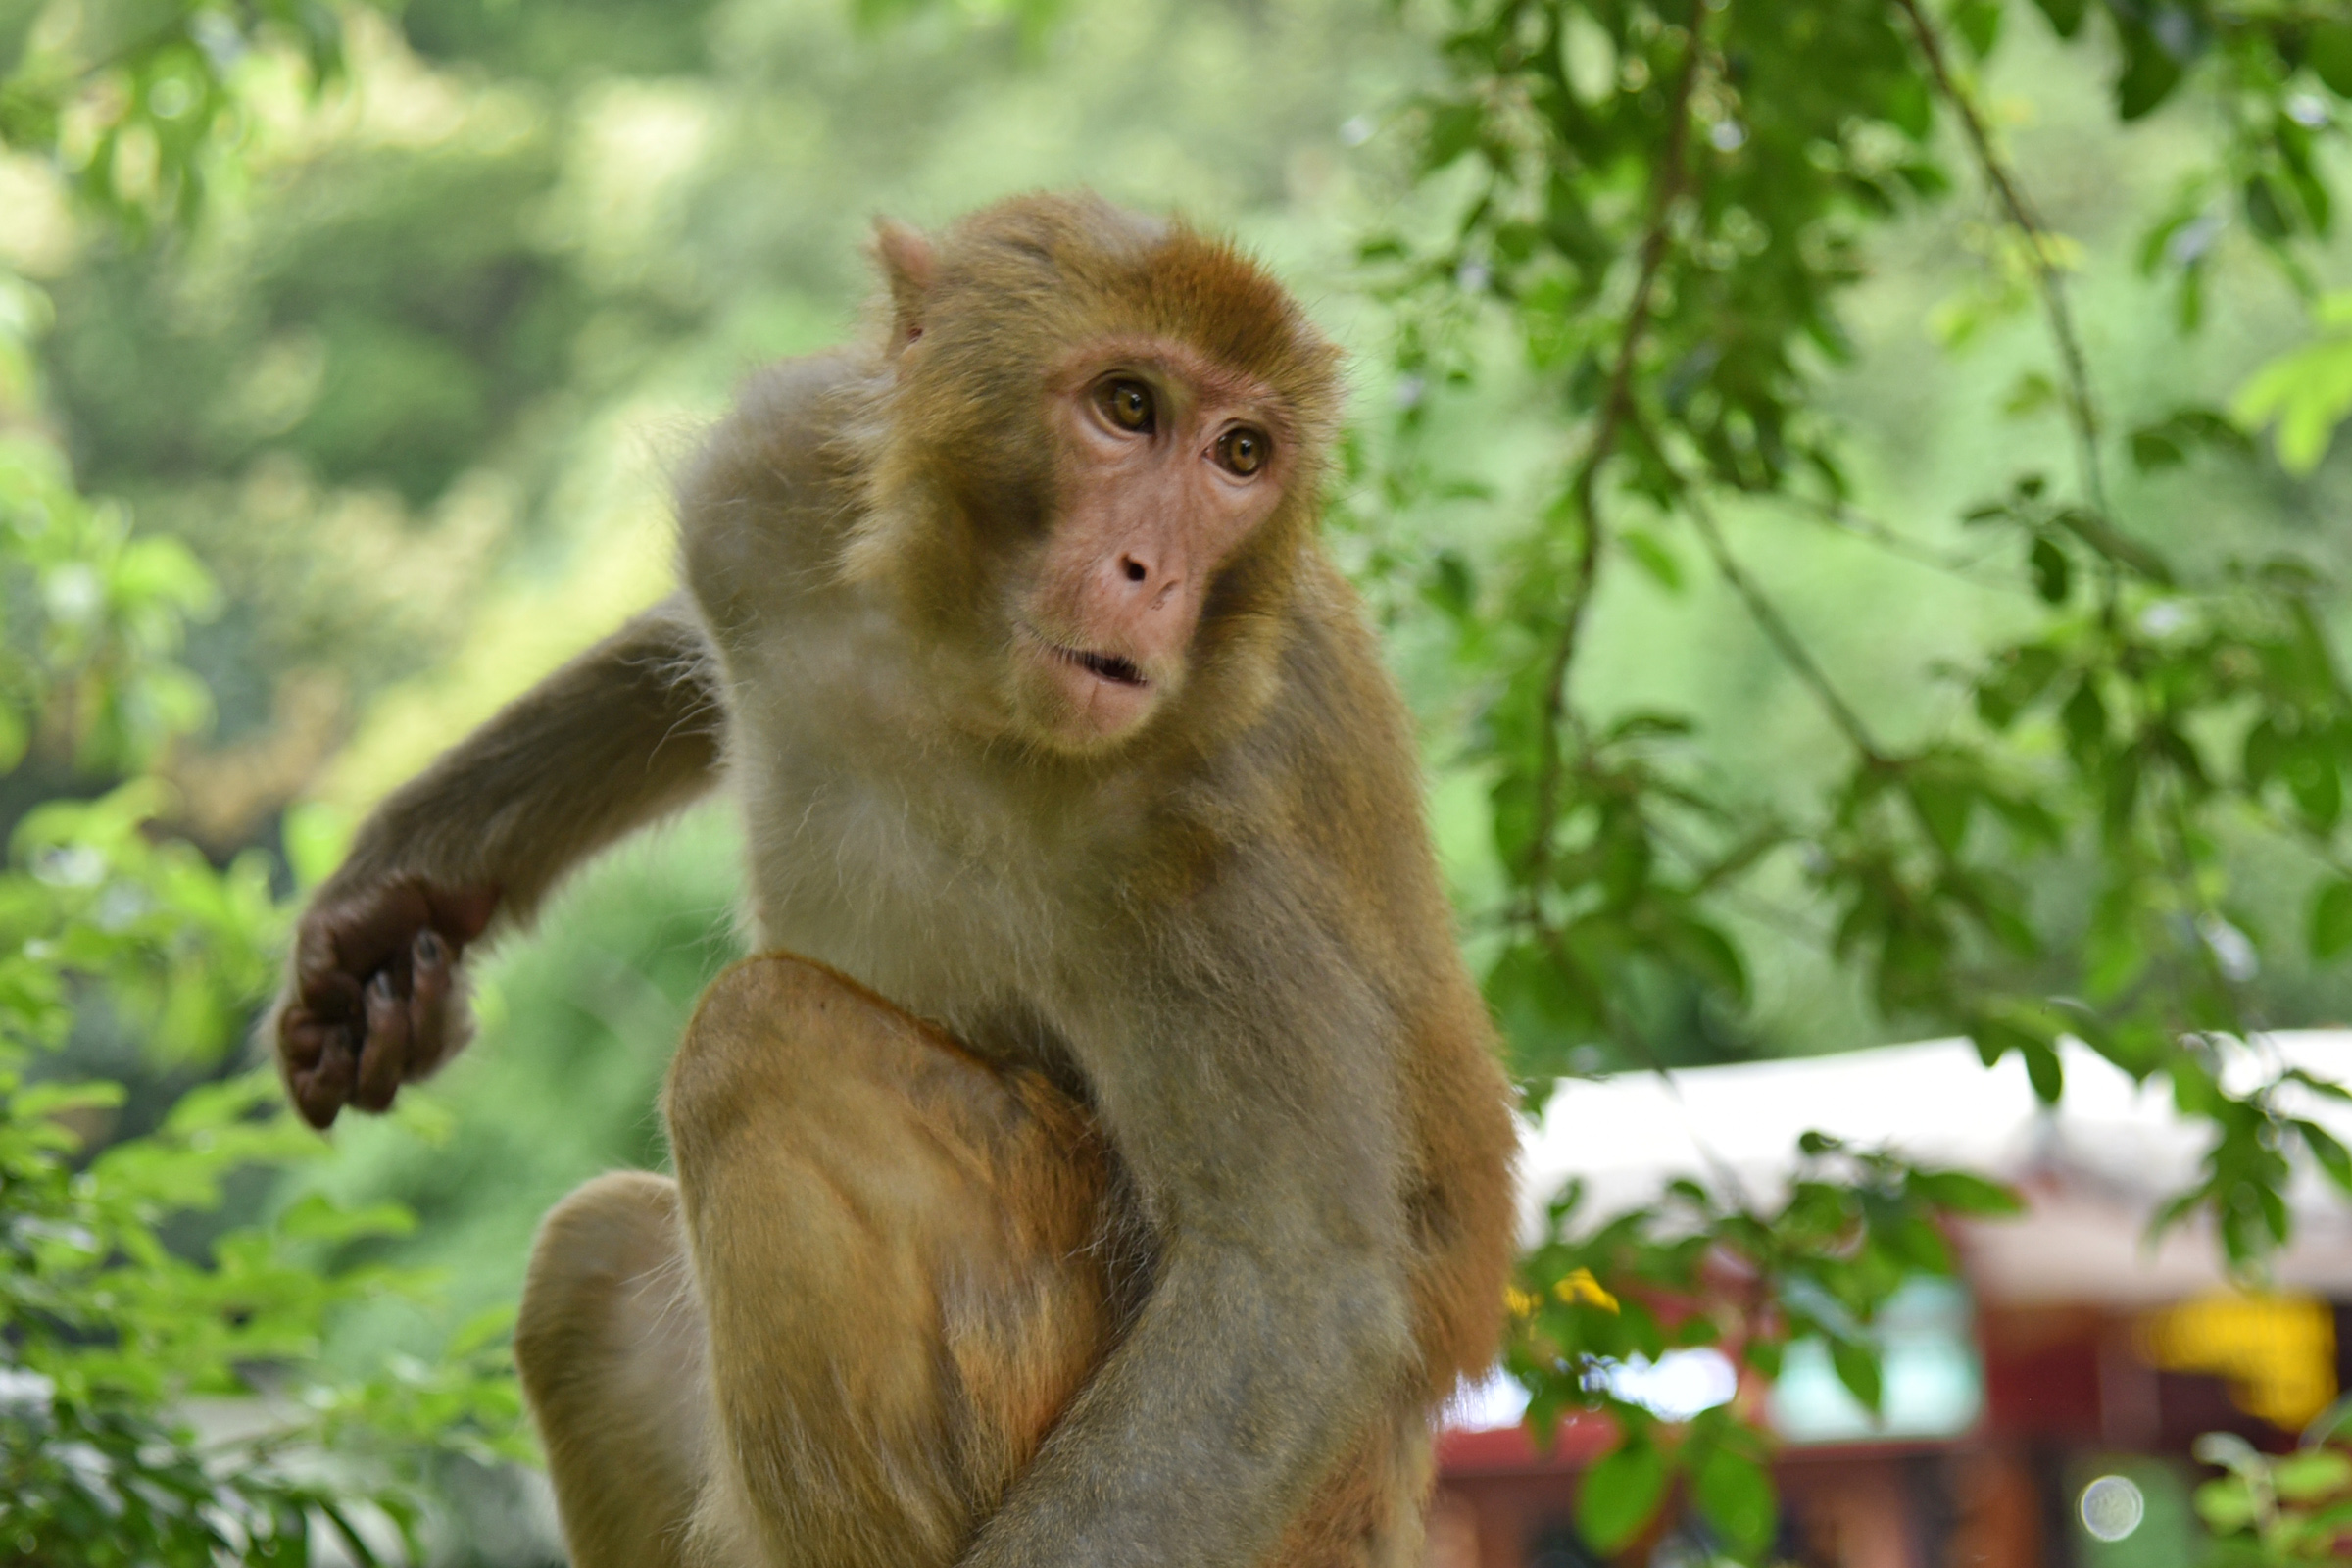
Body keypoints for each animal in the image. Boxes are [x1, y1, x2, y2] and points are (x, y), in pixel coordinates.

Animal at [270, 196, 1524, 1568]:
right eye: (1129, 407)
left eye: (1239, 455)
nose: (1155, 572)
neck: (957, 658)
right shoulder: (773, 473)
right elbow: (671, 636)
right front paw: (403, 888)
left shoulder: (1207, 815)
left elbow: (1286, 1291)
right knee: (594, 1262)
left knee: (761, 1042)